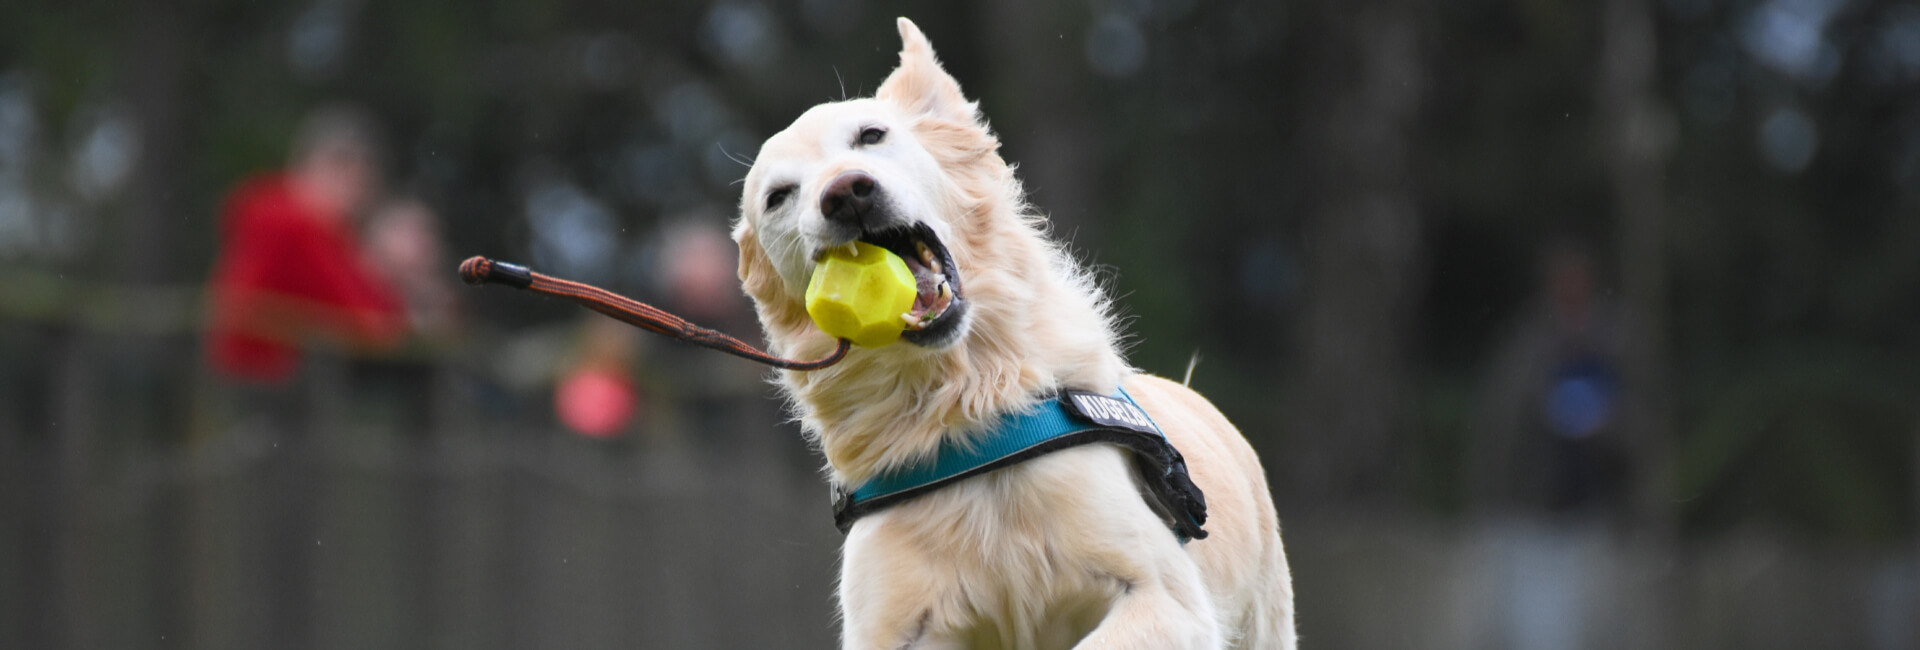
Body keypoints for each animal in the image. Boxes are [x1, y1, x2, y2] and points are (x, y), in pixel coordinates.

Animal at [733, 16, 1305, 650]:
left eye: (871, 135)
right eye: (778, 197)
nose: (845, 193)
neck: (964, 403)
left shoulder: (1166, 596)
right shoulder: (890, 625)